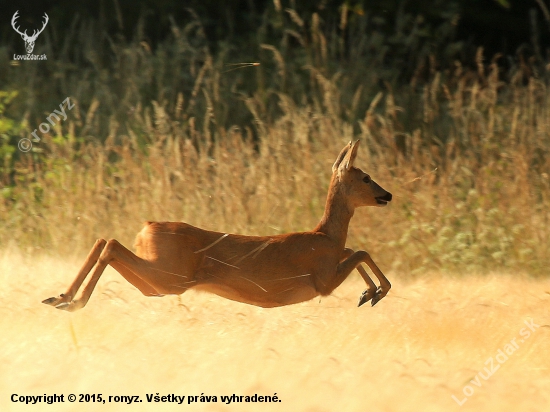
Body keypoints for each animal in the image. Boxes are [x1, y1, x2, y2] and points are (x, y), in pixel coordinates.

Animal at [45, 140, 394, 310]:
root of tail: (147, 227)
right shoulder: (323, 281)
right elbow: (360, 250)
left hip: (157, 284)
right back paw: (72, 302)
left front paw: (368, 293)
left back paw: (59, 297)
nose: (387, 194)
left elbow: (354, 249)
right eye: (365, 177)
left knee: (105, 241)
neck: (326, 236)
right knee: (111, 244)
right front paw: (378, 291)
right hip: (169, 277)